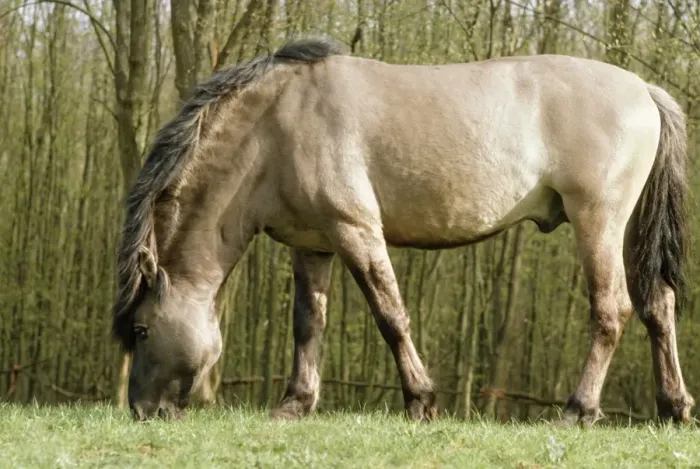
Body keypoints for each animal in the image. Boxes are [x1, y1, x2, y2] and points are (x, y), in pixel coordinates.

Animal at [112, 37, 694, 424]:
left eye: (140, 330)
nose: (140, 410)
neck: (277, 124)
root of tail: (644, 89)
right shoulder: (311, 245)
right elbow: (308, 324)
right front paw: (296, 403)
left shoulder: (356, 230)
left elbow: (390, 316)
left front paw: (420, 400)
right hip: (629, 228)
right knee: (657, 306)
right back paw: (674, 407)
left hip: (598, 220)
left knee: (612, 310)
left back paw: (579, 408)